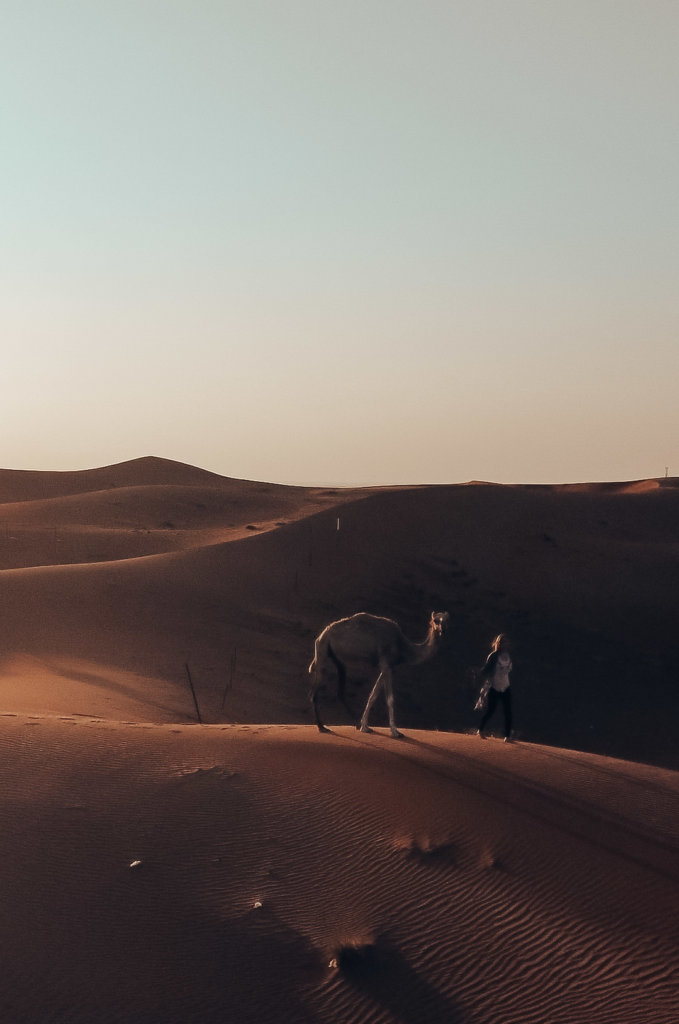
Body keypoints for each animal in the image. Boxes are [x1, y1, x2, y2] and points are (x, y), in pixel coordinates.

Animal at [309, 610, 448, 741]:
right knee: (314, 693)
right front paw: (395, 732)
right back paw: (322, 727)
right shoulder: (386, 664)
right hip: (322, 652)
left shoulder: (388, 667)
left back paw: (355, 724)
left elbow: (373, 694)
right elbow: (390, 699)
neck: (403, 647)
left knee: (340, 691)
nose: (442, 630)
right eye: (435, 620)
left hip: (339, 660)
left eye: (447, 620)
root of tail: (321, 635)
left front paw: (365, 726)